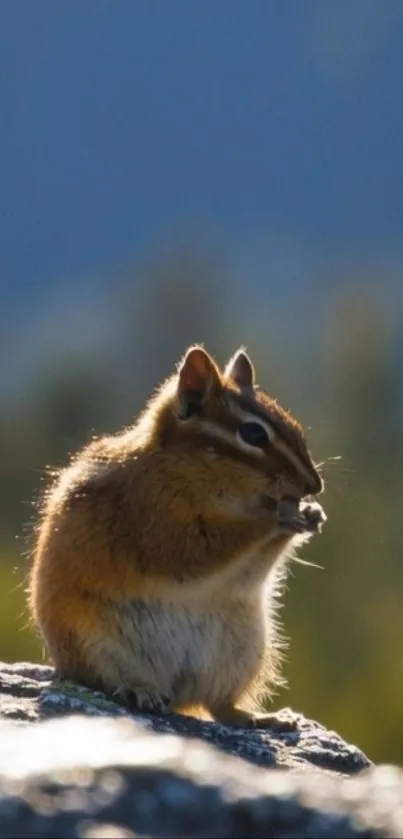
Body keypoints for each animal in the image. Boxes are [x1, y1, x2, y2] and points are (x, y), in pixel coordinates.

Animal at [28, 344, 326, 729]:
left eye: (294, 425)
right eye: (254, 434)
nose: (314, 485)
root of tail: (177, 696)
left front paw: (311, 514)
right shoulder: (157, 520)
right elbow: (199, 550)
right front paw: (279, 515)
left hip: (243, 651)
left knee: (220, 706)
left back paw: (264, 718)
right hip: (95, 645)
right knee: (111, 681)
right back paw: (141, 690)